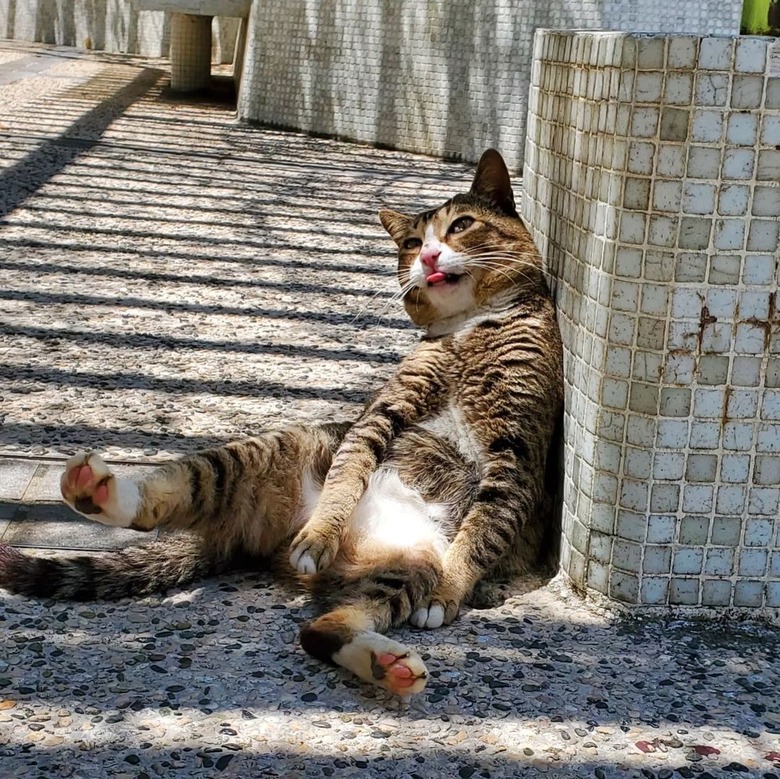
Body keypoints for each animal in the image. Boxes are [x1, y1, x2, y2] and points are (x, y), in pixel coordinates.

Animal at [0, 149, 560, 696]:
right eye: (410, 243)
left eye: (461, 225)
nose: (427, 257)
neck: (468, 330)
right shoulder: (382, 412)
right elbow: (350, 468)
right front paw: (321, 533)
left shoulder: (516, 453)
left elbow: (485, 527)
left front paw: (448, 591)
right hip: (268, 452)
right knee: (172, 491)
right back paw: (99, 490)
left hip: (408, 564)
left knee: (321, 628)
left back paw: (383, 662)